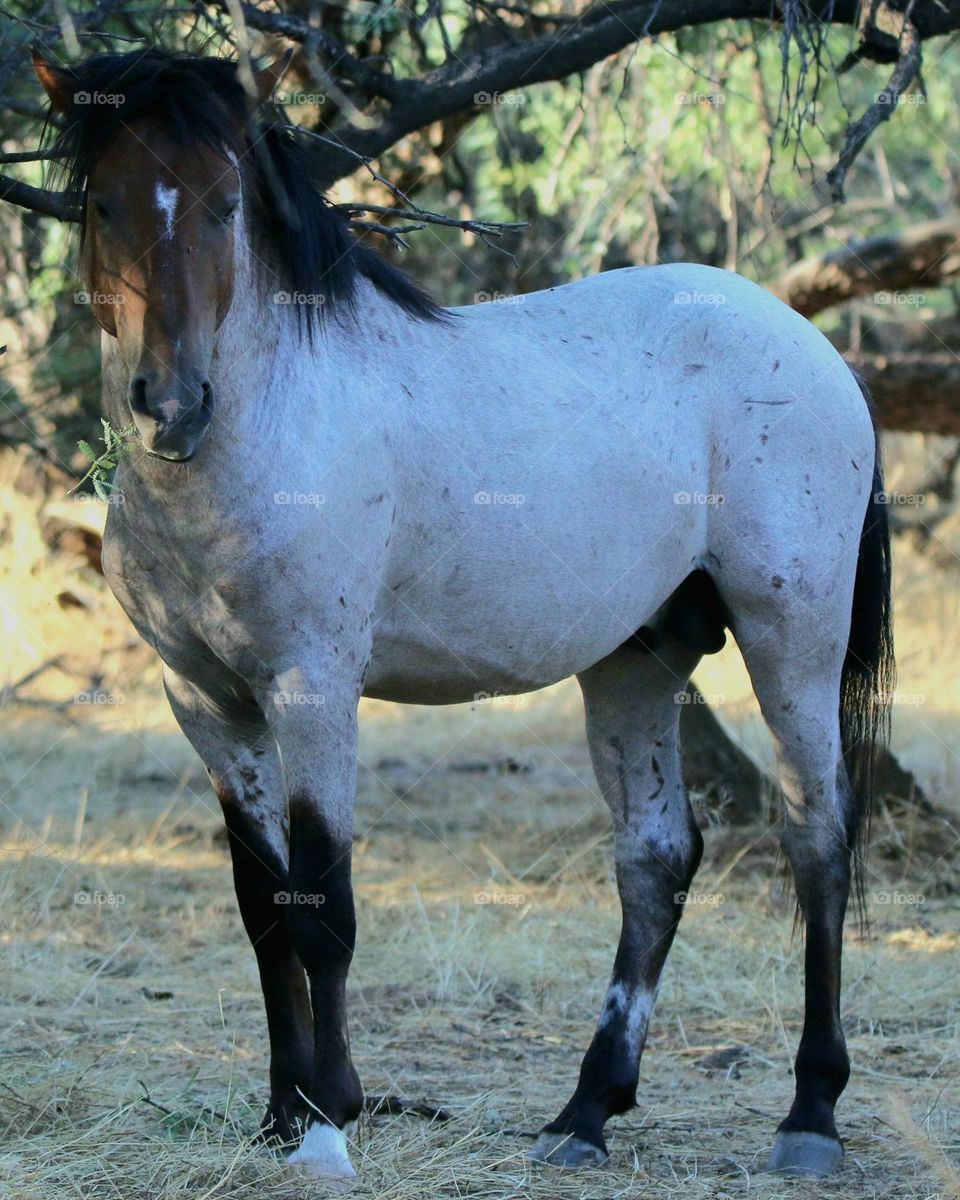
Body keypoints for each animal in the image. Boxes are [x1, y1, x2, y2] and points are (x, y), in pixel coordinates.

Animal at [33, 47, 893, 1183]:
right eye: (102, 200)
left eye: (224, 206)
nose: (170, 405)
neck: (263, 434)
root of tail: (814, 346)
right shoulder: (207, 704)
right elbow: (264, 908)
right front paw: (279, 1117)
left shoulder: (313, 690)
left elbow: (324, 908)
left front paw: (329, 1123)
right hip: (637, 658)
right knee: (656, 859)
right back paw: (583, 1115)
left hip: (791, 638)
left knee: (817, 838)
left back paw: (810, 1116)